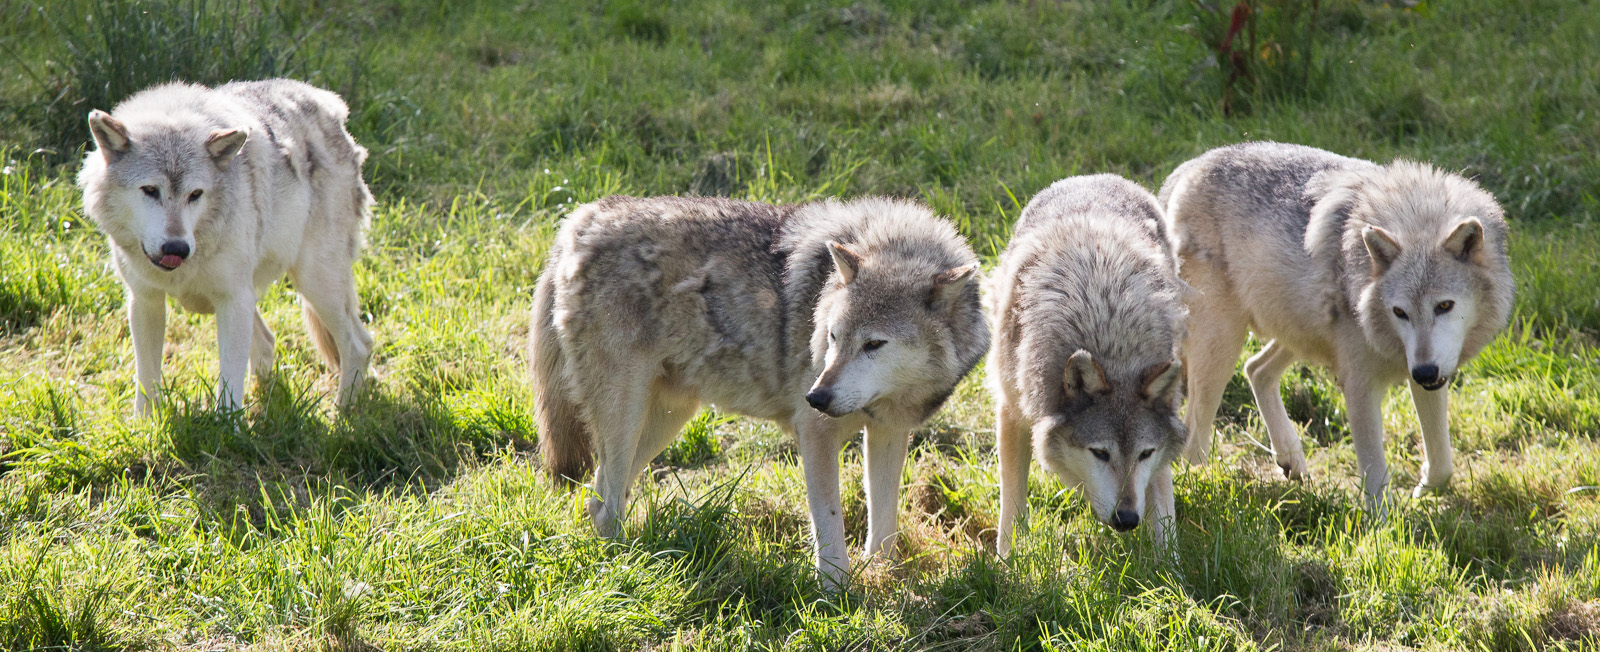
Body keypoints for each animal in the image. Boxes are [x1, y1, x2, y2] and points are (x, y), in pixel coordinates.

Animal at [78, 79, 375, 414]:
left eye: (195, 194)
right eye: (150, 190)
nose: (177, 248)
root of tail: (328, 102)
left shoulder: (233, 301)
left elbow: (230, 389)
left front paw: (227, 427)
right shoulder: (145, 301)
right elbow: (147, 381)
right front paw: (145, 425)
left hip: (314, 285)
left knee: (359, 344)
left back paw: (342, 413)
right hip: (261, 294)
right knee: (269, 342)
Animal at [531, 195, 988, 587]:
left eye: (874, 344)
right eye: (833, 337)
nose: (815, 398)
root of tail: (581, 218)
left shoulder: (890, 433)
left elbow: (885, 523)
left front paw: (884, 577)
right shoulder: (815, 435)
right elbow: (830, 526)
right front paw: (837, 596)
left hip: (663, 422)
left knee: (599, 500)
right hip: (627, 417)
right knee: (606, 503)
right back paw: (625, 571)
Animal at [989, 175, 1188, 554]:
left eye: (1144, 453)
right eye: (1099, 453)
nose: (1127, 519)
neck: (1110, 340)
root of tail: (1097, 176)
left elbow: (1165, 515)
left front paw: (1170, 568)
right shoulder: (1012, 412)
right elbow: (1012, 502)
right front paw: (1009, 560)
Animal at [1161, 142, 1512, 503]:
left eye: (1444, 306)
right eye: (1400, 312)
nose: (1424, 372)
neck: (1414, 216)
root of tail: (1189, 166)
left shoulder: (1430, 370)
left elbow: (1443, 463)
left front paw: (1425, 487)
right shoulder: (1359, 386)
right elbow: (1376, 477)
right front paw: (1383, 519)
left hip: (1297, 334)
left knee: (1256, 369)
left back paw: (1290, 459)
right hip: (1223, 347)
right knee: (1193, 439)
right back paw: (1201, 486)